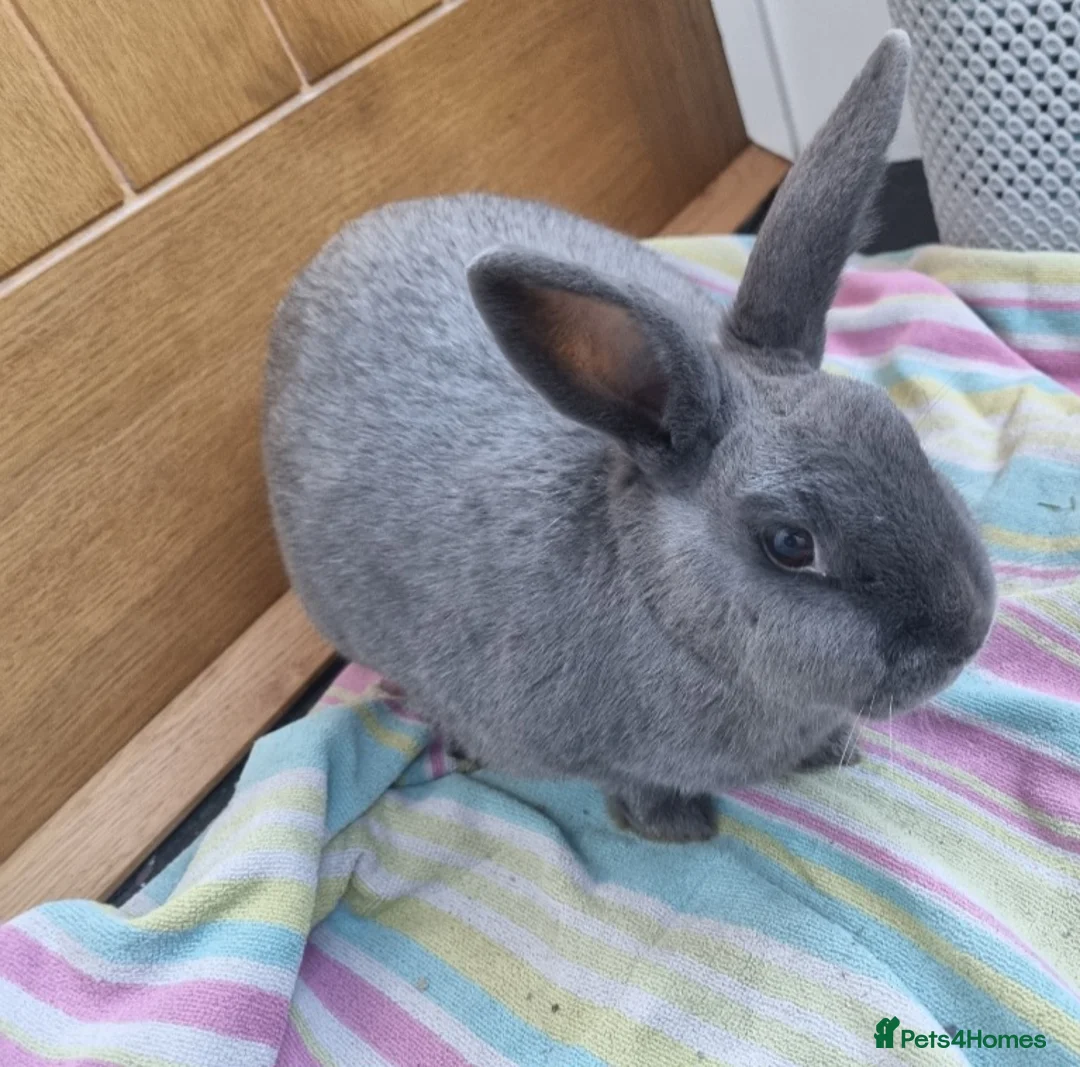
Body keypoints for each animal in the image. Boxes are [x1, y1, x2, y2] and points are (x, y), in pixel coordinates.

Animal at [263, 31, 996, 843]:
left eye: (897, 429)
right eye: (789, 543)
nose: (968, 632)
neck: (665, 611)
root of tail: (342, 240)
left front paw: (834, 751)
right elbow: (631, 785)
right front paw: (678, 828)